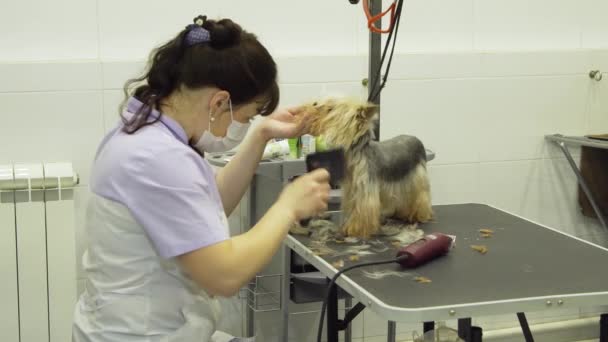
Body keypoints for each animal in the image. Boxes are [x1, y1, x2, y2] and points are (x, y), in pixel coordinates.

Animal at [302, 97, 432, 239]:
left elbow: (363, 210)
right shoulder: (352, 189)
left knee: (421, 196)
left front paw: (356, 230)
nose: (315, 104)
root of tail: (417, 140)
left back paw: (419, 215)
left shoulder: (365, 189)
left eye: (331, 109)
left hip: (417, 177)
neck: (356, 153)